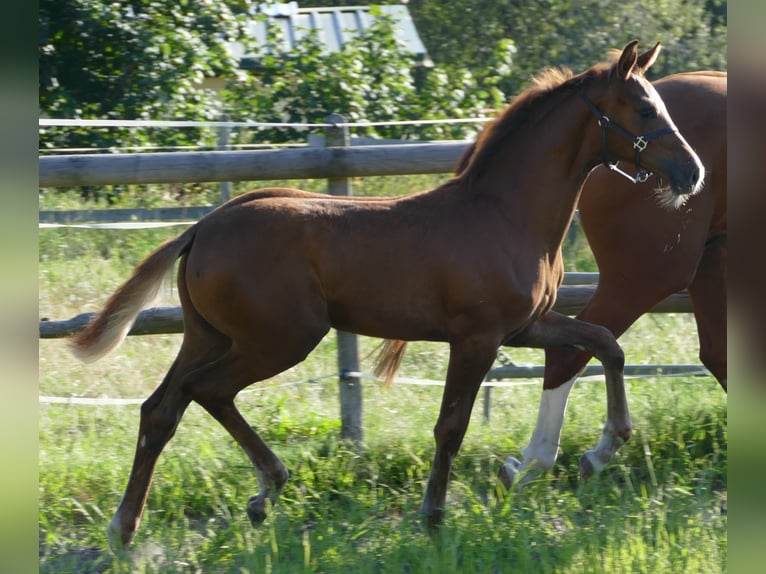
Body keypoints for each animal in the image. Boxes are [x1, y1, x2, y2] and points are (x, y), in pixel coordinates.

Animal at [70, 41, 704, 552]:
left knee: (162, 408)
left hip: (209, 335)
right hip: (279, 340)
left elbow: (603, 342)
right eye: (645, 109)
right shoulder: (476, 338)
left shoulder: (526, 325)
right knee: (205, 392)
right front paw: (433, 517)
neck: (504, 213)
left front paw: (608, 446)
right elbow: (451, 425)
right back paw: (262, 490)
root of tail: (203, 228)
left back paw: (130, 526)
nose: (693, 173)